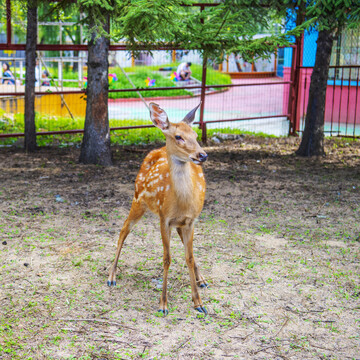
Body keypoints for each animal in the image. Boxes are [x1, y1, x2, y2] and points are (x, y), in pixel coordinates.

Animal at [107, 102, 208, 316]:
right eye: (178, 136)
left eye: (195, 135)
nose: (202, 155)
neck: (181, 202)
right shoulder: (164, 218)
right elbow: (167, 258)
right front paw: (163, 304)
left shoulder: (191, 220)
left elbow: (189, 256)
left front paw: (199, 303)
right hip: (138, 198)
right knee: (123, 230)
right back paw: (111, 276)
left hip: (175, 221)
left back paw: (202, 279)